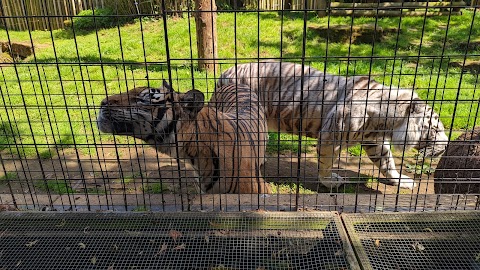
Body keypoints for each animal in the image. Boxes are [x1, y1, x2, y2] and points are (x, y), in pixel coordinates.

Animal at [218, 61, 450, 190]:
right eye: (436, 129)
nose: (446, 146)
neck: (386, 123)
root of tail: (225, 72)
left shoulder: (374, 141)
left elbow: (387, 163)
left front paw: (402, 180)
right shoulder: (331, 137)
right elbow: (326, 163)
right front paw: (329, 181)